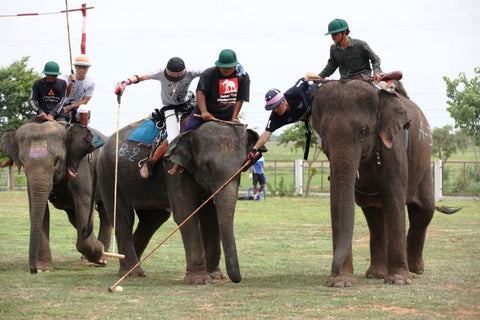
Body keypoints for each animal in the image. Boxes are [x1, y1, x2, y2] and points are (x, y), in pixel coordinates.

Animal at [0, 120, 109, 272]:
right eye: (22, 162)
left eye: (57, 160)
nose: (33, 269)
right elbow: (39, 208)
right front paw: (43, 269)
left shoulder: (81, 167)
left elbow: (84, 203)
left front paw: (99, 255)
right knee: (74, 216)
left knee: (105, 212)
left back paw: (103, 256)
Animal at [95, 119, 264, 284]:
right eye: (206, 166)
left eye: (243, 164)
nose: (237, 280)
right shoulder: (173, 168)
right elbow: (185, 213)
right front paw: (200, 280)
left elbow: (210, 216)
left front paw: (216, 276)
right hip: (108, 174)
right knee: (123, 218)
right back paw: (133, 273)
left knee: (154, 218)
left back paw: (130, 269)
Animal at [312, 80, 442, 288]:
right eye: (322, 133)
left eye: (363, 131)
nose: (333, 270)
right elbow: (337, 203)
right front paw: (340, 282)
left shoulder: (394, 144)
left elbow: (395, 199)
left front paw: (399, 281)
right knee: (375, 218)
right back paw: (376, 274)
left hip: (424, 166)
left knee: (423, 212)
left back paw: (415, 270)